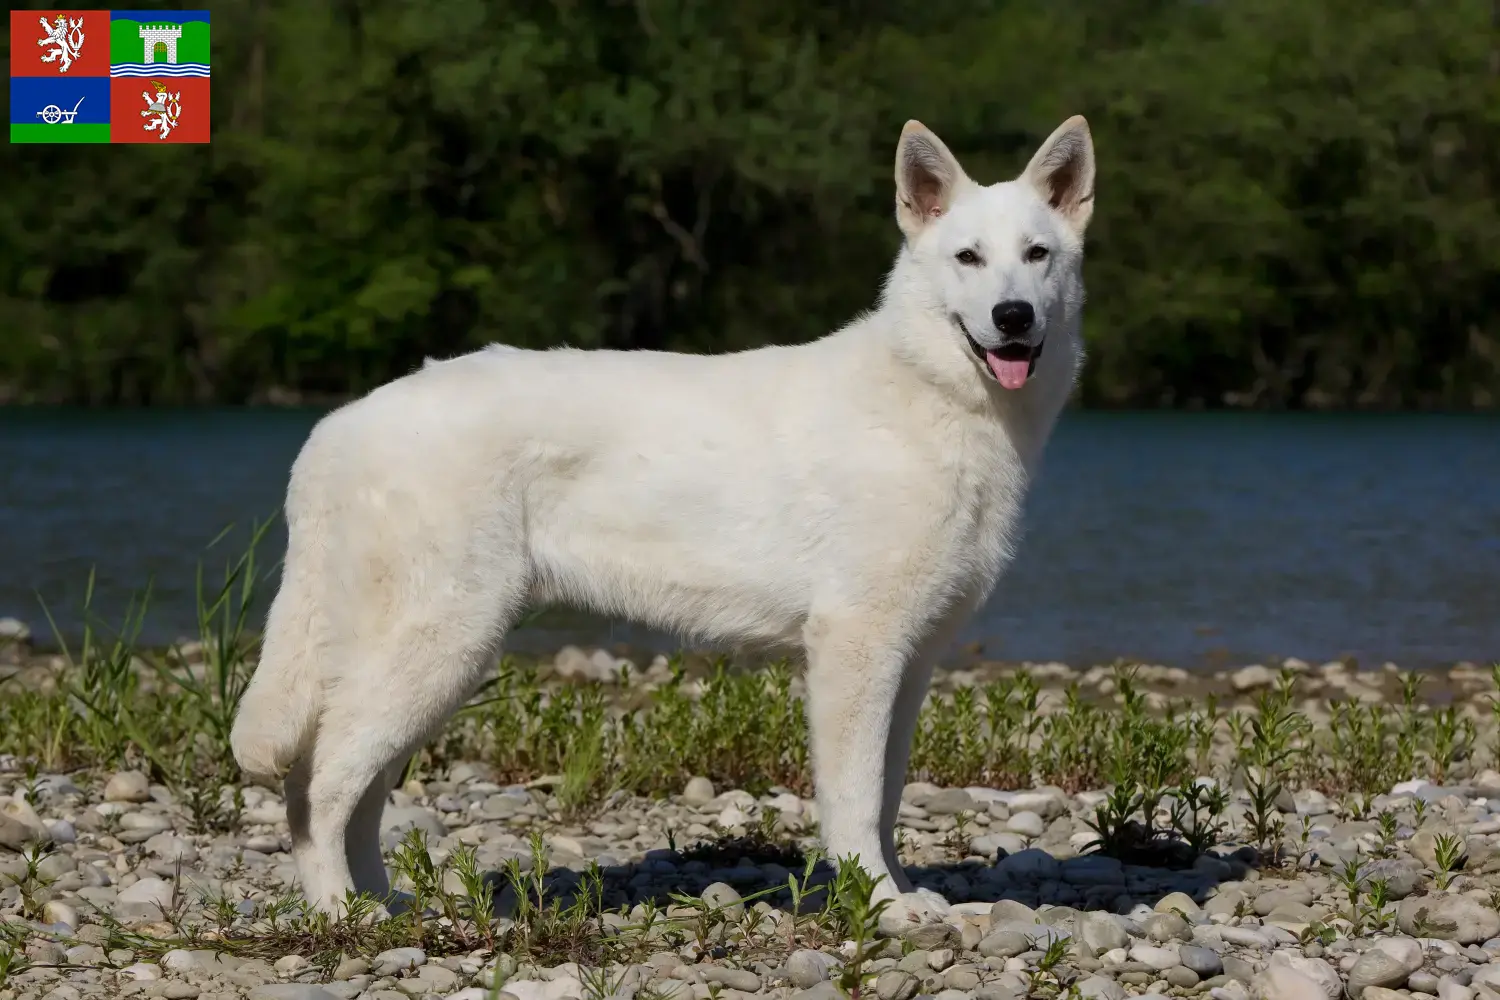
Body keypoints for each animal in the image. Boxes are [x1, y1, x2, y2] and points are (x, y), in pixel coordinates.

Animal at [228, 115, 1098, 923]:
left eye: (1037, 255)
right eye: (968, 259)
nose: (1013, 316)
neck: (936, 401)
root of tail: (338, 426)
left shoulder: (910, 661)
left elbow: (885, 799)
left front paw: (897, 894)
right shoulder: (854, 649)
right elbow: (854, 801)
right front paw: (878, 904)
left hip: (428, 667)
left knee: (356, 790)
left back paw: (382, 904)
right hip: (442, 646)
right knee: (319, 786)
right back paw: (338, 914)